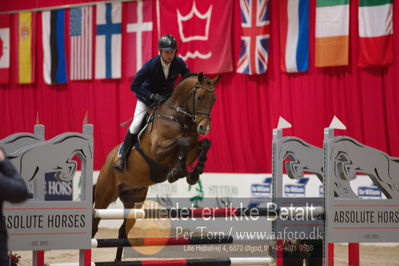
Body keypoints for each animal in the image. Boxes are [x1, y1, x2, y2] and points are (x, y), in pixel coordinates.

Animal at [92, 72, 220, 260]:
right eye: (200, 97)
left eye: (214, 99)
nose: (204, 127)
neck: (179, 118)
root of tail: (108, 160)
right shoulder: (158, 150)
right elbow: (182, 141)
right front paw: (178, 172)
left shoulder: (192, 150)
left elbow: (204, 144)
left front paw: (193, 173)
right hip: (104, 195)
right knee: (95, 224)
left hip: (134, 201)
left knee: (123, 231)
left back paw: (117, 260)